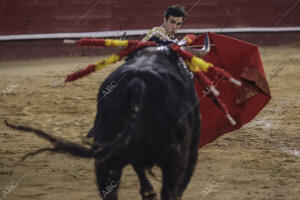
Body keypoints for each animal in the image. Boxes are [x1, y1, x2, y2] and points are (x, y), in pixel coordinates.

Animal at [5, 45, 202, 200]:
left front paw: (147, 192)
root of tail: (138, 83)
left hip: (106, 160)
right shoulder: (189, 150)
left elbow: (138, 168)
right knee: (170, 191)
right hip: (175, 158)